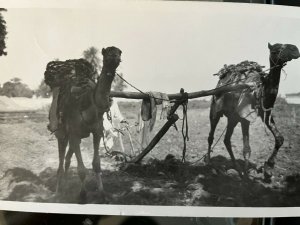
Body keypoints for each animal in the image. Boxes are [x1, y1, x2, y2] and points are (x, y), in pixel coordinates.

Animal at [54, 46, 121, 199]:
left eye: (120, 52)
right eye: (107, 52)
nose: (115, 57)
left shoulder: (97, 132)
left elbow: (96, 164)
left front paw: (102, 193)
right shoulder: (74, 133)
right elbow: (81, 169)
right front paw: (82, 195)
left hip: (74, 137)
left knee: (67, 159)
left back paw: (65, 185)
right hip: (62, 133)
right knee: (61, 160)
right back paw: (58, 191)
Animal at [207, 43, 298, 178]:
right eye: (276, 50)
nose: (295, 50)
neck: (259, 90)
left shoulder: (265, 112)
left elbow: (279, 138)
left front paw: (268, 168)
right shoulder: (245, 117)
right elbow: (246, 148)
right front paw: (246, 176)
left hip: (233, 118)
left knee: (226, 139)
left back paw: (236, 166)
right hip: (215, 110)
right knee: (211, 136)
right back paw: (209, 164)